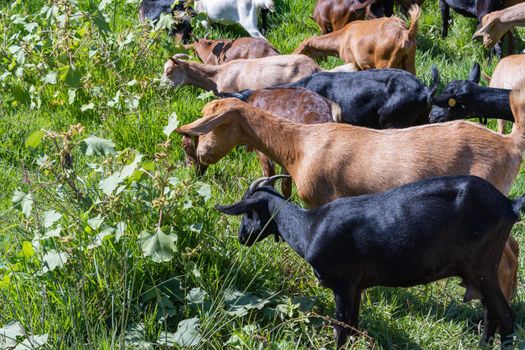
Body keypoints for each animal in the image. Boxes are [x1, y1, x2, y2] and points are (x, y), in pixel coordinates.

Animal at [215, 175, 516, 348]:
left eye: (250, 211)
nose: (242, 237)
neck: (310, 227)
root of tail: (509, 205)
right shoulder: (358, 288)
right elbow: (354, 325)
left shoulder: (343, 285)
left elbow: (341, 327)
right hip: (476, 272)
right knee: (490, 312)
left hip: (482, 266)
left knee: (505, 315)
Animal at [292, 5, 420, 74]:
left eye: (300, 50)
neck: (342, 37)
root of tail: (406, 34)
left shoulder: (352, 62)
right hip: (409, 62)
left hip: (386, 62)